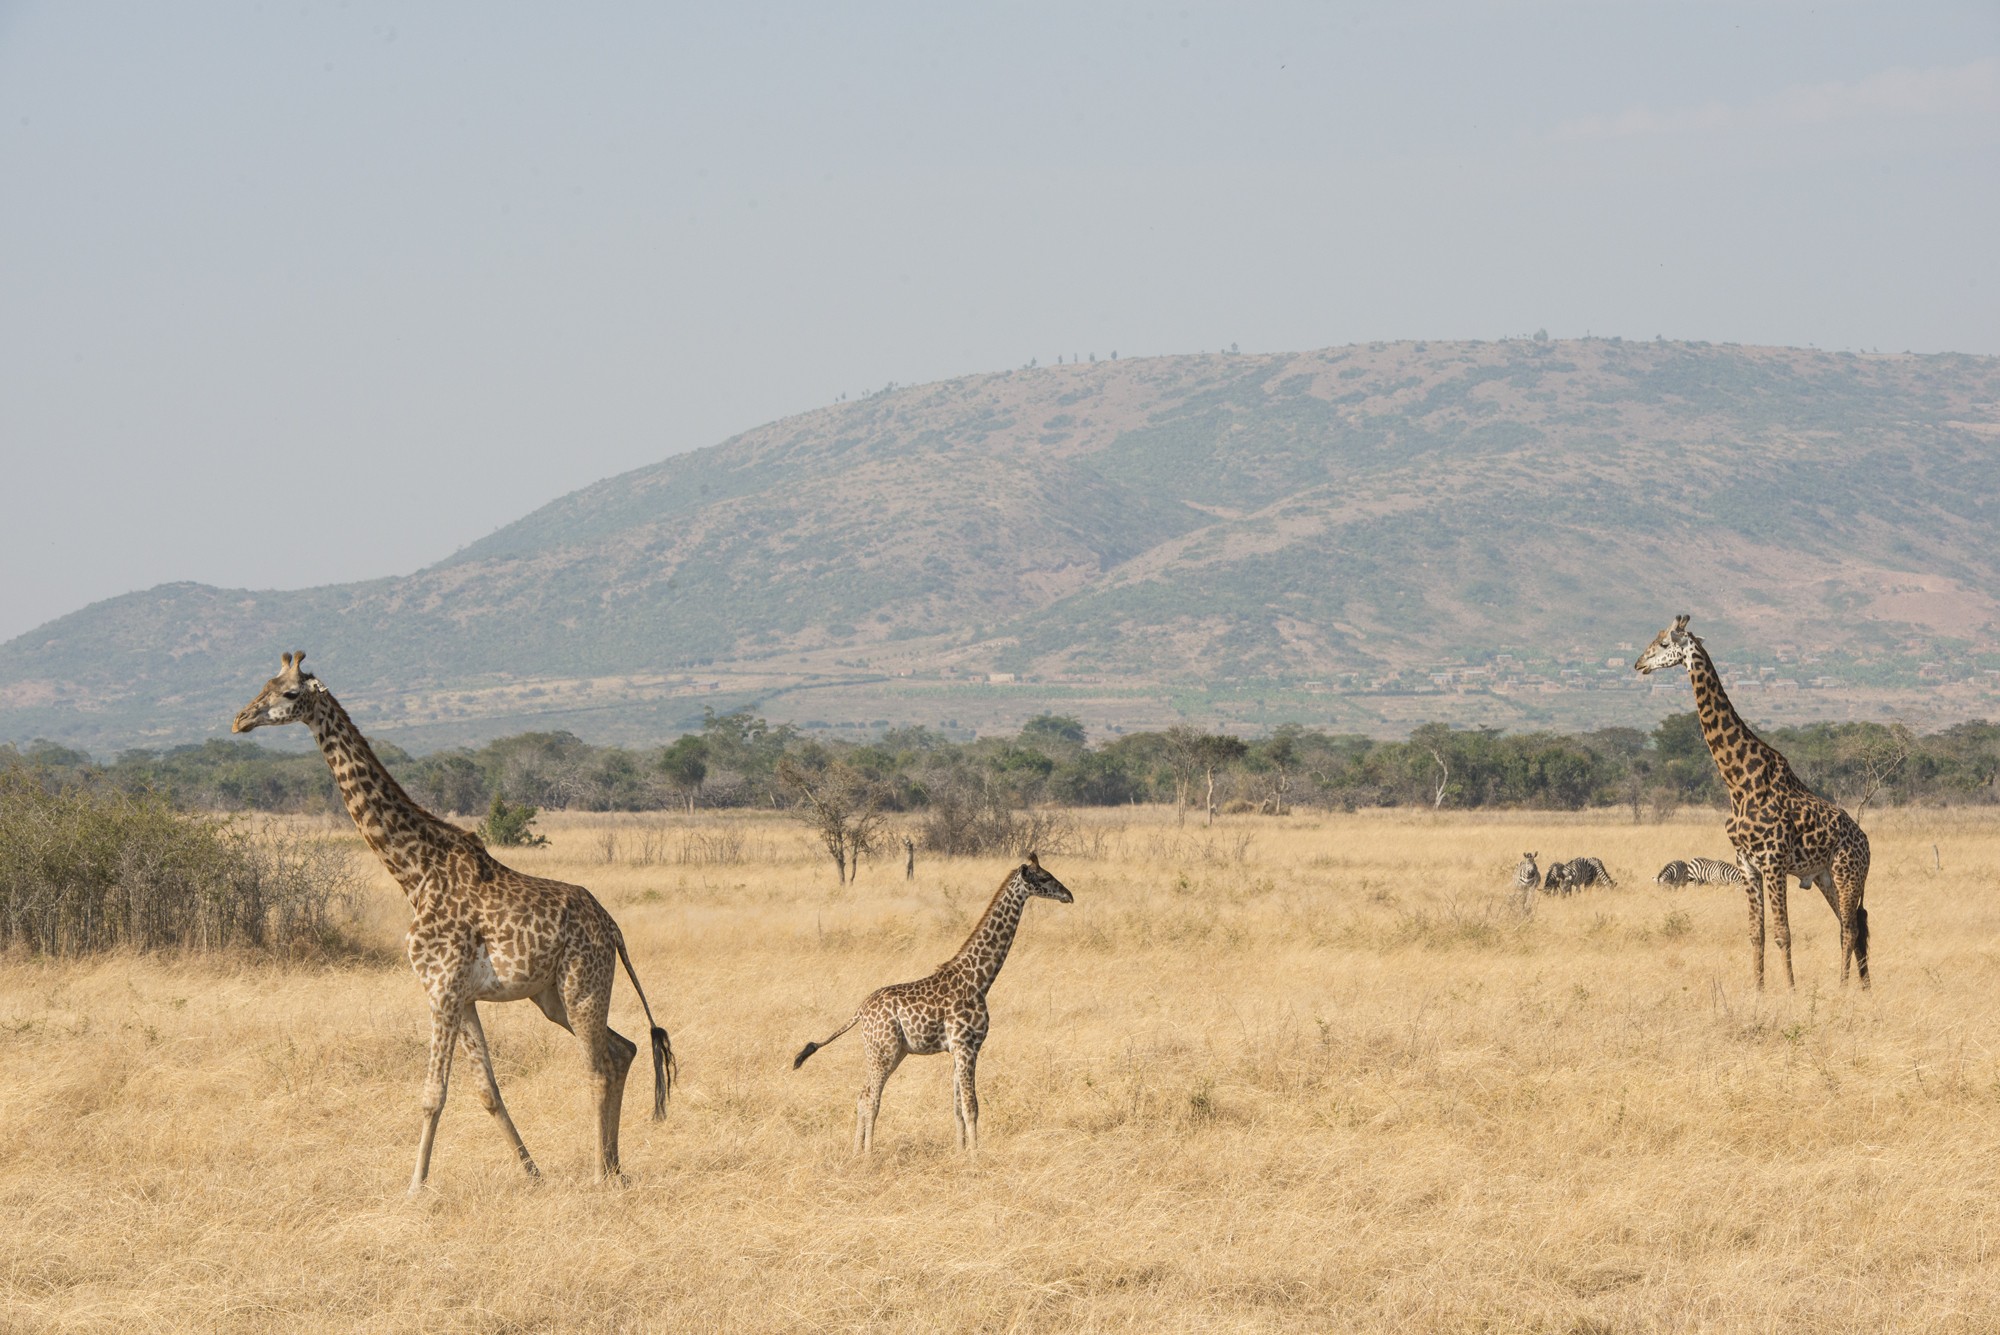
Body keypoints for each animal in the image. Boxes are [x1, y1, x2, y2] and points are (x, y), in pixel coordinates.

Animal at [231, 655, 676, 1191]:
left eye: (291, 693)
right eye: (265, 683)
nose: (240, 720)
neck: (414, 871)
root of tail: (613, 929)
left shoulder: (440, 988)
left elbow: (432, 1095)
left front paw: (414, 1188)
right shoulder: (461, 997)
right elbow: (487, 1091)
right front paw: (532, 1174)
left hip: (582, 985)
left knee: (598, 1068)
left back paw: (597, 1175)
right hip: (551, 997)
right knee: (623, 1049)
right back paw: (614, 1167)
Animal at [796, 859, 1080, 1151]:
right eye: (1044, 878)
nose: (1068, 895)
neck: (979, 980)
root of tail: (860, 1011)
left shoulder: (959, 1050)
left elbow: (956, 1108)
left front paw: (961, 1152)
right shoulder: (966, 1046)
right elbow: (971, 1106)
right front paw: (976, 1156)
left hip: (894, 1052)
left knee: (862, 1095)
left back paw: (856, 1151)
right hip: (882, 1051)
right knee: (871, 1098)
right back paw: (867, 1154)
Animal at [1632, 619, 1864, 987]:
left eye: (1664, 642)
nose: (1639, 663)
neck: (1739, 783)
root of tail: (1867, 842)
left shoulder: (1773, 862)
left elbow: (1783, 932)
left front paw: (1791, 990)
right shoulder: (1747, 865)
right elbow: (1757, 934)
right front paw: (1758, 990)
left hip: (1848, 874)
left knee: (1851, 929)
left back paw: (1843, 989)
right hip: (1826, 877)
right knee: (1850, 925)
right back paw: (1862, 987)